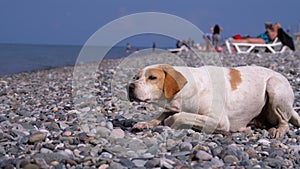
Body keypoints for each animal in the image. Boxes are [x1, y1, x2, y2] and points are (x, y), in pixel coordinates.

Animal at [127, 64, 300, 138]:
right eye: (137, 77)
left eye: (152, 77)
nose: (130, 86)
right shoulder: (171, 107)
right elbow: (159, 117)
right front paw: (145, 123)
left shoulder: (219, 120)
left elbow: (176, 117)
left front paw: (169, 121)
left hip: (274, 86)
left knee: (284, 121)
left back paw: (278, 130)